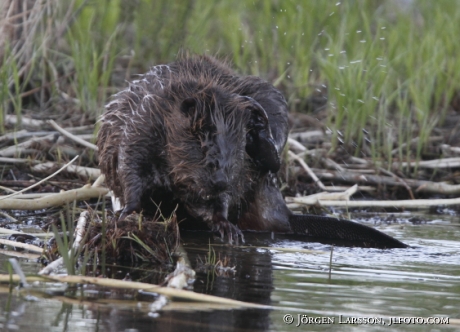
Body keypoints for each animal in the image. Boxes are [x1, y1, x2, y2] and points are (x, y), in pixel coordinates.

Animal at [97, 54, 406, 248]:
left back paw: (260, 131)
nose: (219, 179)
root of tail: (285, 216)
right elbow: (131, 169)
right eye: (201, 142)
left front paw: (227, 229)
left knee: (271, 158)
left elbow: (220, 201)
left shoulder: (237, 171)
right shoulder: (142, 124)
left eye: (235, 149)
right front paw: (127, 213)